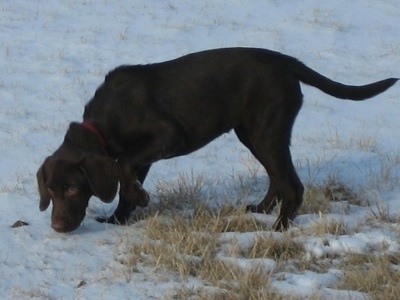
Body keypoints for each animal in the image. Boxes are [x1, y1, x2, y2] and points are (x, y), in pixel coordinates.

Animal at [36, 48, 396, 233]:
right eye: (50, 191)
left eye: (72, 188)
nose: (57, 227)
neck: (105, 121)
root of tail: (287, 61)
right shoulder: (144, 156)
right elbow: (125, 179)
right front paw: (118, 219)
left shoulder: (167, 134)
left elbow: (124, 167)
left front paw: (138, 200)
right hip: (252, 134)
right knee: (277, 179)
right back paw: (261, 209)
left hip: (267, 132)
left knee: (292, 185)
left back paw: (278, 228)